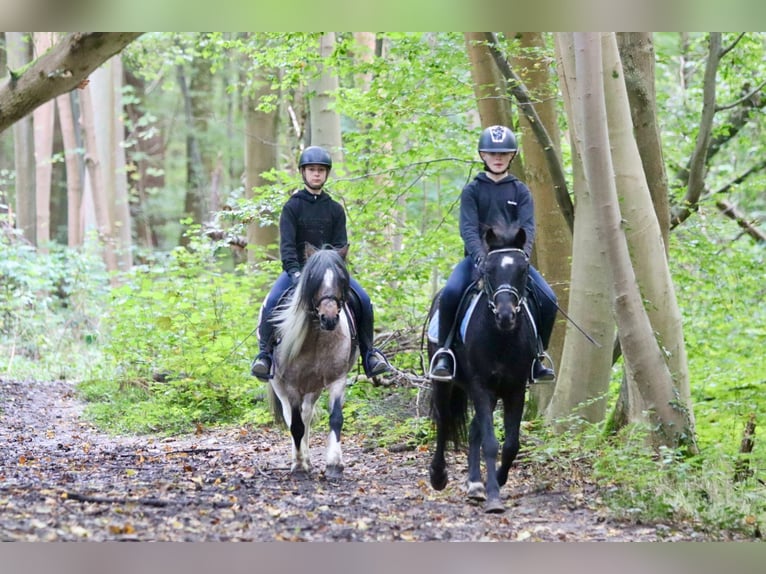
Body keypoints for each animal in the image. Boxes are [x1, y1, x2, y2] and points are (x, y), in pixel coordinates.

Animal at [426, 223, 540, 516]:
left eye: (523, 269)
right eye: (489, 269)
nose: (505, 316)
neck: (501, 338)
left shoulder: (514, 389)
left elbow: (510, 444)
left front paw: (496, 480)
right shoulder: (480, 385)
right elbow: (491, 442)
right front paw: (494, 497)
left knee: (474, 427)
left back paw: (475, 484)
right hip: (447, 383)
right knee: (444, 420)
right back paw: (439, 476)